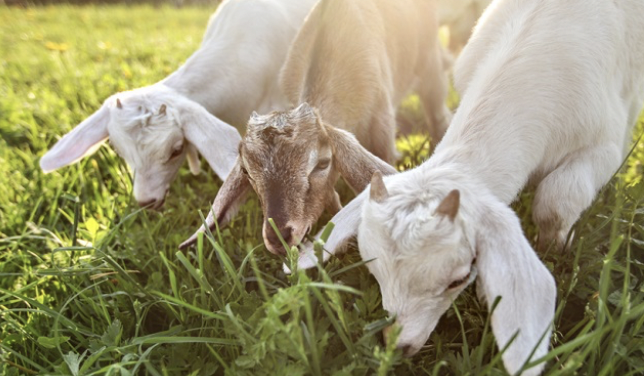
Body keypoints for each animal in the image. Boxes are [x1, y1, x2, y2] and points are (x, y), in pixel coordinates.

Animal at [181, 0, 452, 256]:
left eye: (322, 163)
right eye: (247, 172)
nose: (279, 238)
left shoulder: (382, 126)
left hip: (430, 66)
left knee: (437, 113)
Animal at [294, 1, 644, 374]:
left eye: (458, 279)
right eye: (373, 268)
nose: (398, 345)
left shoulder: (605, 143)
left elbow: (556, 200)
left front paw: (558, 246)